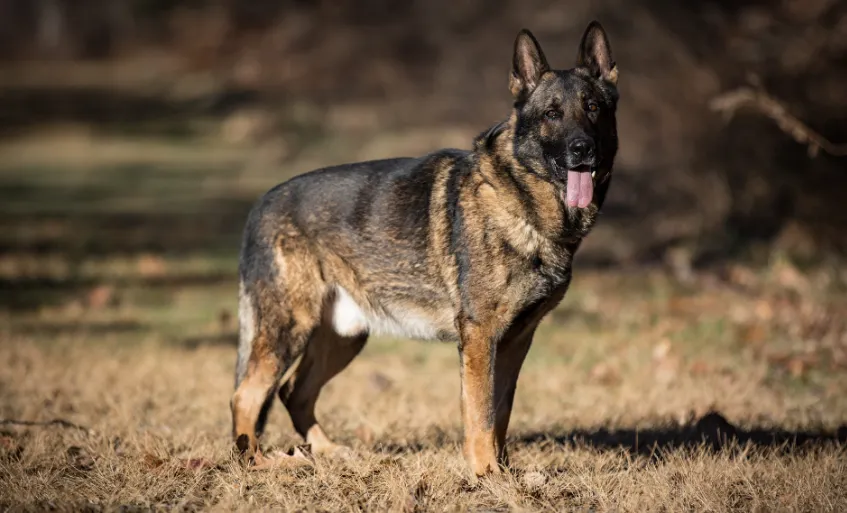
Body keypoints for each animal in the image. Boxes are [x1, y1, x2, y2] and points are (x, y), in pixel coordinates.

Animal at [230, 20, 616, 476]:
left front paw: (503, 471)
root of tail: (261, 204)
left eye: (593, 108)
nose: (582, 149)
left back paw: (326, 452)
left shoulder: (516, 341)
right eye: (552, 114)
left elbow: (500, 411)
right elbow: (481, 412)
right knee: (246, 396)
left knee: (293, 392)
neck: (519, 197)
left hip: (343, 336)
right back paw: (260, 463)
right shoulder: (481, 337)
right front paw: (486, 474)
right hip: (289, 328)